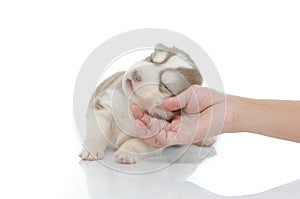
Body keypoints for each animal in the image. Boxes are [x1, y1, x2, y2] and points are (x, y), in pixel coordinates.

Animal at [79, 43, 216, 163]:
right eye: (151, 59)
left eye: (165, 86)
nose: (136, 74)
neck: (133, 106)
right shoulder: (104, 105)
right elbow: (97, 131)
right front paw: (91, 150)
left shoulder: (157, 139)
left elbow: (137, 143)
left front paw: (126, 152)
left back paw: (207, 139)